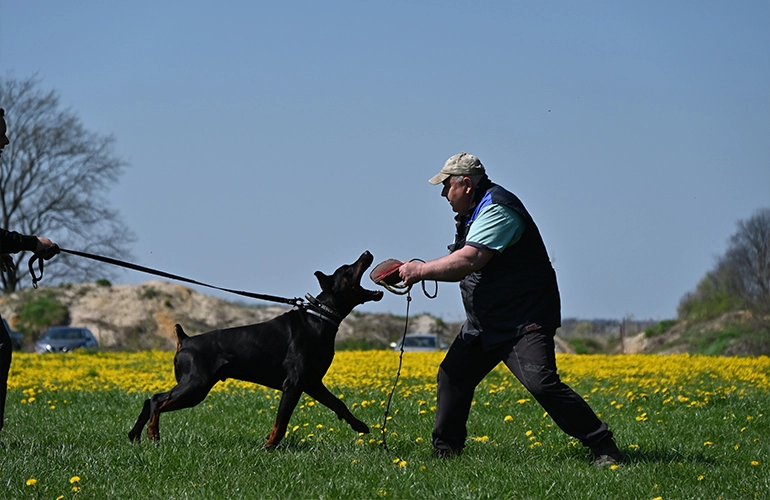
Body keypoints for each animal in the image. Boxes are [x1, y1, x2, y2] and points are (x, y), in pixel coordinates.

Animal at [128, 252, 388, 448]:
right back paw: (152, 433)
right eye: (347, 269)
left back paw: (136, 435)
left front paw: (359, 425)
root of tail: (185, 339)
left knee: (150, 400)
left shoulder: (313, 382)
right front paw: (269, 446)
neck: (320, 317)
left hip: (194, 386)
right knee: (157, 400)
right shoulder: (294, 384)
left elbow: (338, 404)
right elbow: (281, 423)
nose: (367, 253)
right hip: (196, 385)